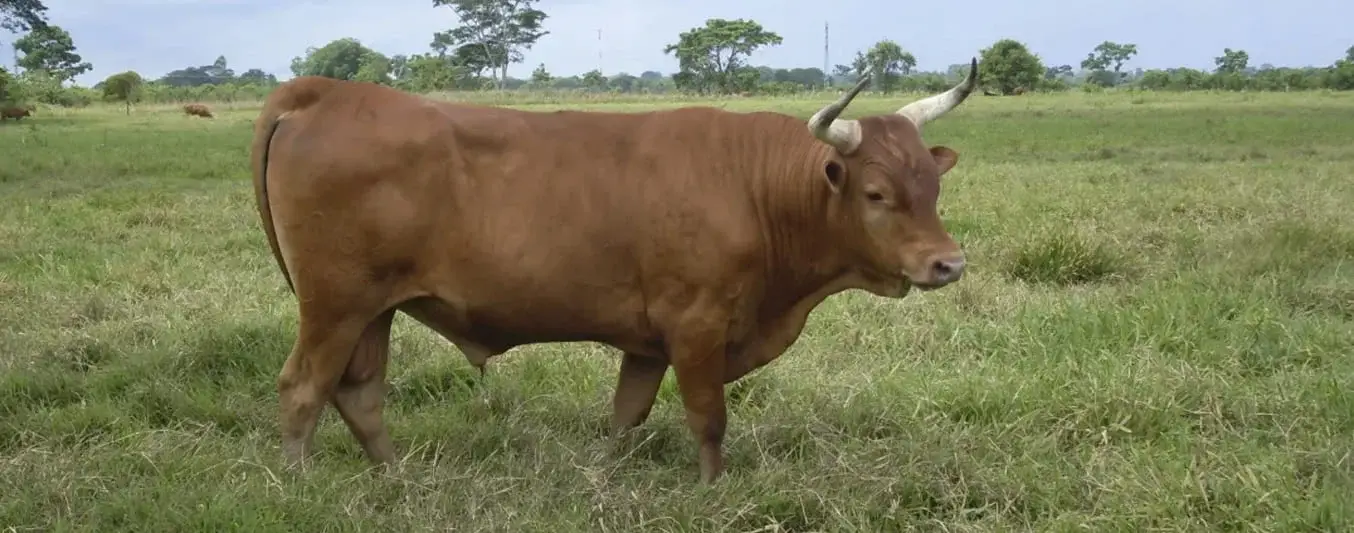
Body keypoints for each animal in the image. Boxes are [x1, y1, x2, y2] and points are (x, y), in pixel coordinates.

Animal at [249, 57, 980, 484]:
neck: (753, 187)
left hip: (374, 309)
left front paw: (603, 474)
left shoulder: (648, 342)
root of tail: (325, 90)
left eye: (931, 184)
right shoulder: (697, 327)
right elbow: (708, 417)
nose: (948, 263)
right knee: (304, 389)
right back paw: (301, 485)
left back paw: (396, 479)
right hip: (334, 305)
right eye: (876, 193)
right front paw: (712, 492)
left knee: (359, 393)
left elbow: (626, 416)